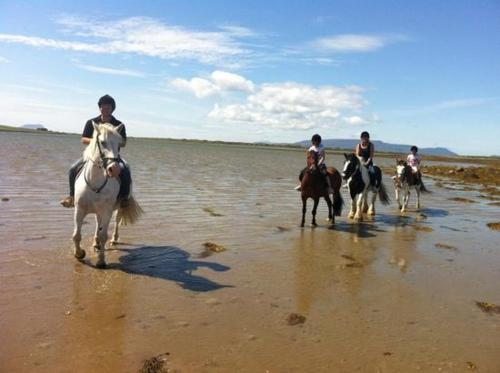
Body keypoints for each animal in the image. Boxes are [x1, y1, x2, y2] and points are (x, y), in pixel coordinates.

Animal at [70, 122, 142, 268]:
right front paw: (79, 254)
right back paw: (95, 243)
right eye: (102, 142)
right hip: (97, 211)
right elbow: (76, 235)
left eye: (119, 144)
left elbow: (104, 235)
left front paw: (101, 261)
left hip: (118, 208)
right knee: (98, 224)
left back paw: (113, 240)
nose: (114, 169)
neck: (95, 181)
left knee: (116, 223)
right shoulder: (79, 209)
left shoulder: (107, 210)